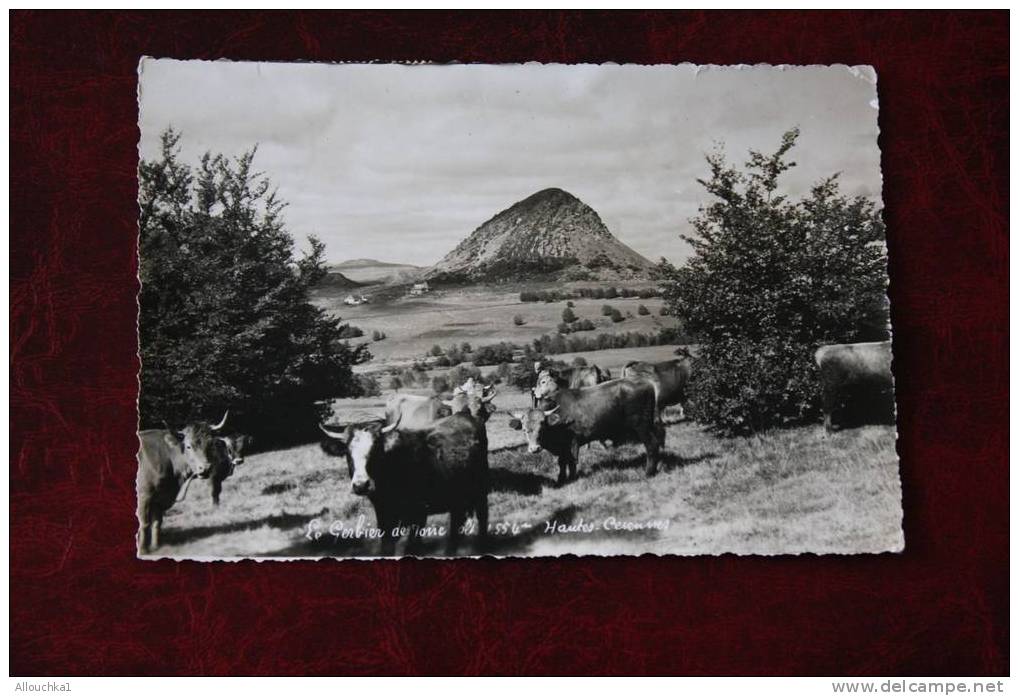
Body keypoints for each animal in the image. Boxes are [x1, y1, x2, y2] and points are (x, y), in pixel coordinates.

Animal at [135, 411, 229, 554]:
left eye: (210, 444)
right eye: (189, 446)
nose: (205, 468)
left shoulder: (160, 497)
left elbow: (157, 522)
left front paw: (156, 547)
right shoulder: (144, 495)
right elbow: (144, 524)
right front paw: (143, 551)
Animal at [319, 413, 491, 554]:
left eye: (376, 450)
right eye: (347, 453)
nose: (361, 485)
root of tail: (465, 416)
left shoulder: (418, 513)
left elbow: (412, 546)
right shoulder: (383, 513)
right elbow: (387, 546)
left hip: (481, 490)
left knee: (482, 517)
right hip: (456, 495)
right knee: (456, 522)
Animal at [507, 381, 660, 485]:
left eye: (542, 427)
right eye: (524, 429)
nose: (534, 449)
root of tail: (646, 384)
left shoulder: (573, 442)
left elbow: (572, 462)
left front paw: (572, 478)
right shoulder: (563, 448)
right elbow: (562, 462)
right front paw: (561, 479)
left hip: (642, 427)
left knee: (652, 445)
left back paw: (648, 473)